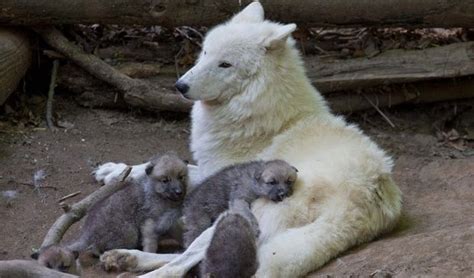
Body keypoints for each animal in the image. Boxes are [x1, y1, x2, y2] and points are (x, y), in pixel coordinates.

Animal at [98, 1, 402, 276]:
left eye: (225, 65)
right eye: (205, 52)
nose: (180, 86)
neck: (261, 111)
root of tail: (363, 202)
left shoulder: (215, 177)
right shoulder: (208, 170)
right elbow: (162, 167)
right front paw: (114, 170)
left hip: (239, 215)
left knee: (182, 263)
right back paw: (125, 257)